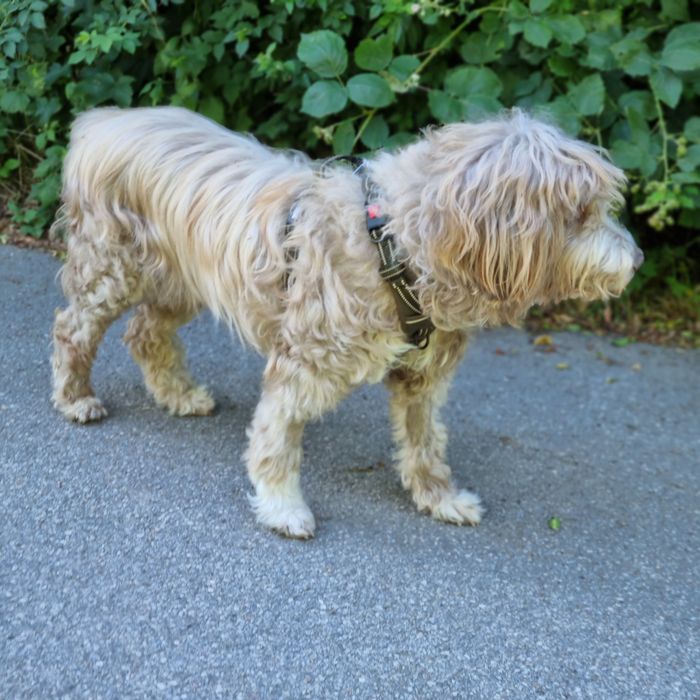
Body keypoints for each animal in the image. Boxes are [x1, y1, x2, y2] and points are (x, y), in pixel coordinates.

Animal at [52, 106, 644, 540]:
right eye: (582, 213)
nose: (635, 260)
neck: (394, 244)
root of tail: (105, 121)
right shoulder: (301, 365)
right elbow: (275, 440)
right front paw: (282, 506)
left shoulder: (423, 377)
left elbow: (425, 444)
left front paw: (438, 497)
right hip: (112, 270)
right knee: (72, 329)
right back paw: (76, 396)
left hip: (181, 282)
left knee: (145, 332)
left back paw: (177, 393)